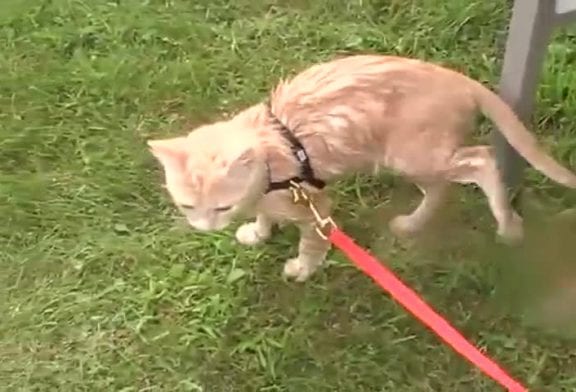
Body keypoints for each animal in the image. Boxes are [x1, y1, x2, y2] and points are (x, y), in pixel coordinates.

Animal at [148, 54, 576, 282]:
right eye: (188, 206)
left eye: (220, 207)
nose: (204, 228)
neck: (270, 157)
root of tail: (460, 79)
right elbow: (265, 216)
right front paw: (259, 231)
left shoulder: (315, 206)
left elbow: (311, 243)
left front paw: (302, 268)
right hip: (415, 161)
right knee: (442, 188)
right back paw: (414, 223)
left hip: (413, 154)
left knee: (483, 160)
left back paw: (508, 223)